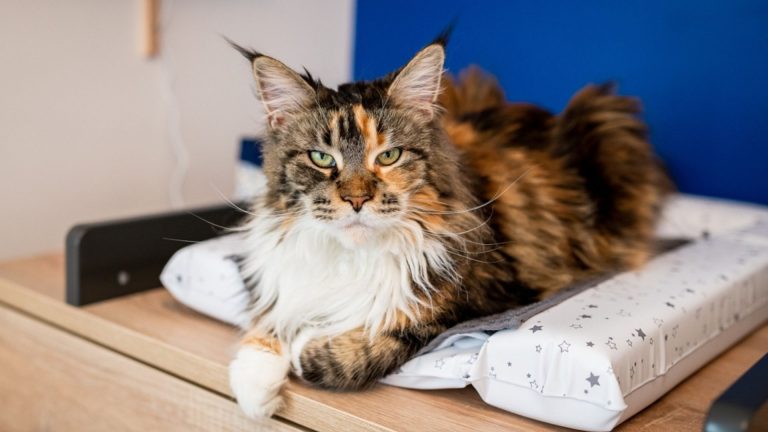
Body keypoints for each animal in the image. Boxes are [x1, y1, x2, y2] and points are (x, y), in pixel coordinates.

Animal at [226, 33, 672, 418]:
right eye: (321, 158)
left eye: (388, 157)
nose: (356, 200)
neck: (353, 255)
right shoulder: (278, 285)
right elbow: (264, 325)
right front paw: (255, 393)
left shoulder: (478, 298)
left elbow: (372, 342)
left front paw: (306, 342)